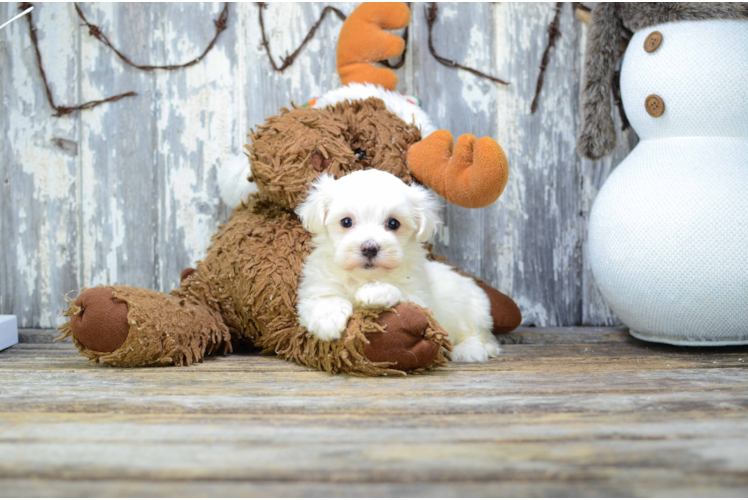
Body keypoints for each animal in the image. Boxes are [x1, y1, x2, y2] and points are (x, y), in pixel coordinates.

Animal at [296, 170, 500, 362]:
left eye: (393, 223)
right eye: (346, 221)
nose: (369, 248)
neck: (365, 277)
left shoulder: (421, 298)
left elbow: (401, 293)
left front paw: (375, 292)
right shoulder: (315, 287)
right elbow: (324, 298)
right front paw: (328, 320)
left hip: (473, 311)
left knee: (482, 337)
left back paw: (469, 350)